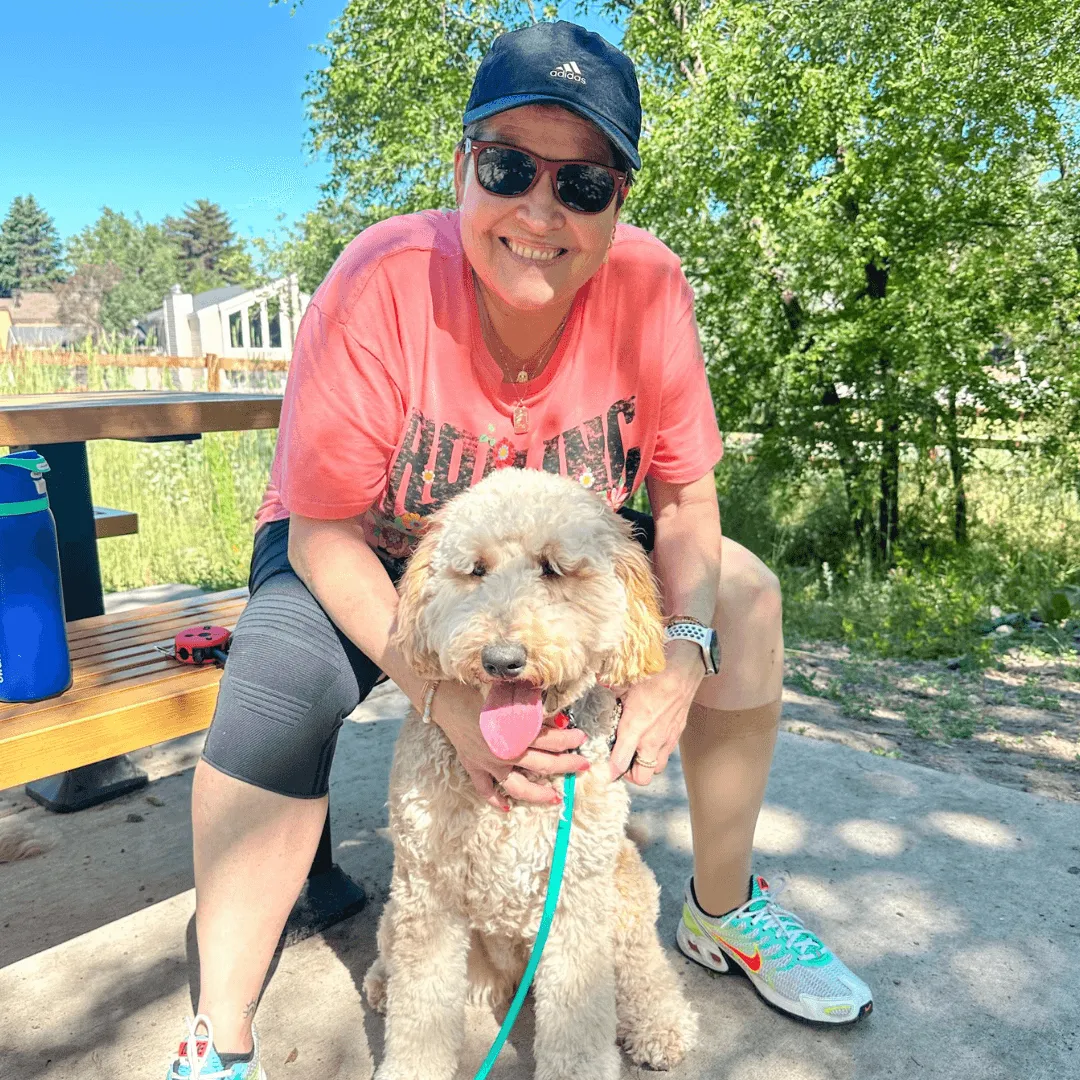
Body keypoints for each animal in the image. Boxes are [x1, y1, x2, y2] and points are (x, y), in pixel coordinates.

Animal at [362, 470, 699, 1080]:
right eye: (475, 570)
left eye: (554, 568)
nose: (501, 660)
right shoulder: (428, 890)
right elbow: (419, 1006)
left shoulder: (577, 900)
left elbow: (579, 1022)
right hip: (408, 908)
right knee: (393, 949)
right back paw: (381, 979)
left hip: (625, 890)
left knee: (644, 967)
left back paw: (660, 1024)